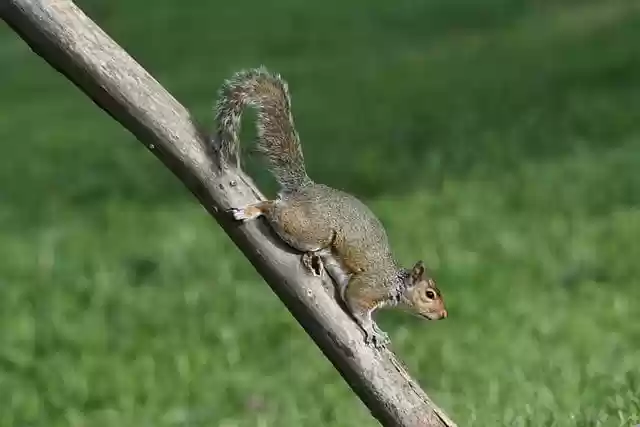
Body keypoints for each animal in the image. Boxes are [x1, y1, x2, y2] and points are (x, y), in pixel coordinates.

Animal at [213, 67, 447, 348]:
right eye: (430, 294)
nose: (444, 314)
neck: (394, 283)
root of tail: (305, 188)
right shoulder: (366, 288)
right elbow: (356, 305)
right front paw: (371, 330)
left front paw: (377, 330)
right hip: (311, 232)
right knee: (274, 207)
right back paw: (252, 210)